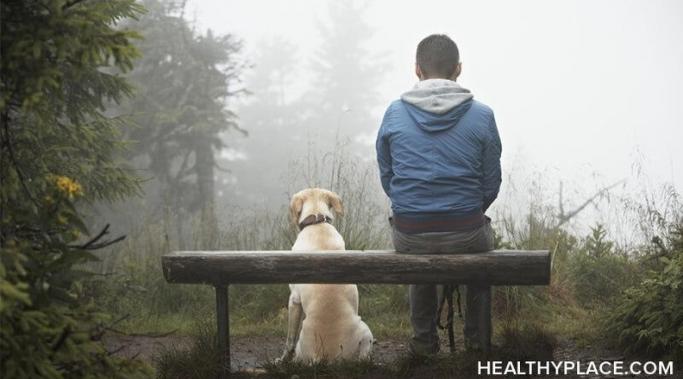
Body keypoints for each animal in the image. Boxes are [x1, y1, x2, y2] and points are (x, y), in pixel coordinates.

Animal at [278, 189, 374, 364]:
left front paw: (282, 359)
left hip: (364, 330)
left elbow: (289, 339)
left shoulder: (294, 299)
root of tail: (325, 358)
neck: (317, 223)